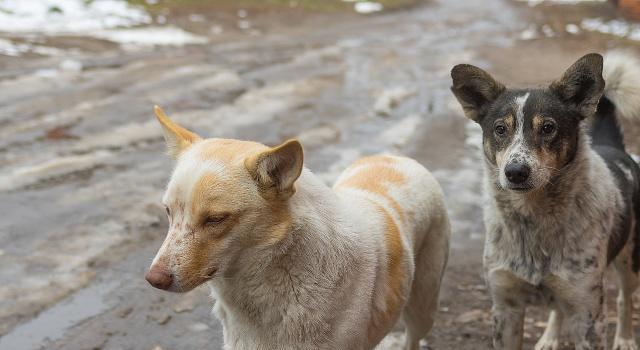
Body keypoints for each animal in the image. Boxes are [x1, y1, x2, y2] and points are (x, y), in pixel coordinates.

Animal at [450, 52, 640, 350]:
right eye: (500, 129)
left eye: (548, 127)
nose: (515, 172)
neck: (532, 219)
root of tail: (613, 147)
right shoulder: (506, 308)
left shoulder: (588, 314)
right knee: (557, 308)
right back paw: (549, 338)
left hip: (630, 259)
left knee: (625, 298)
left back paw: (625, 338)